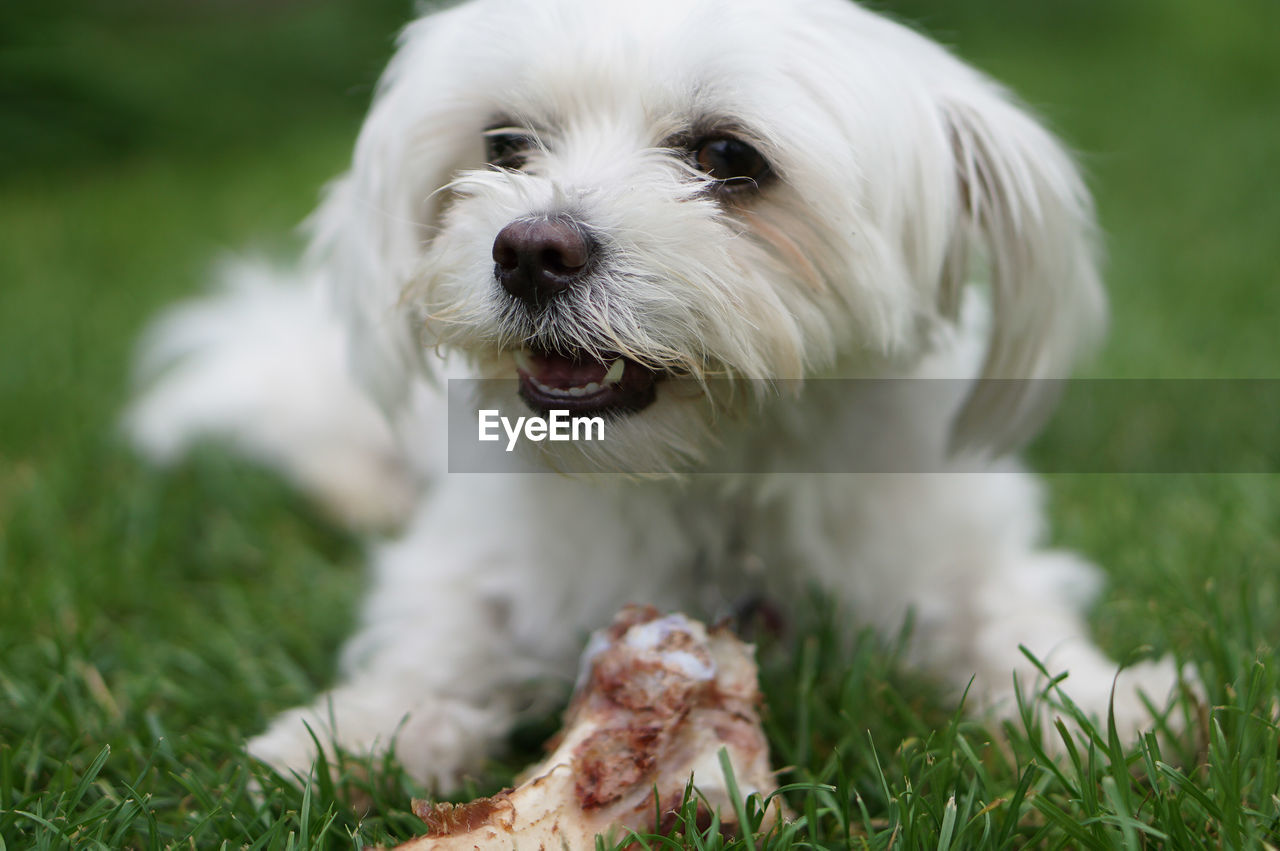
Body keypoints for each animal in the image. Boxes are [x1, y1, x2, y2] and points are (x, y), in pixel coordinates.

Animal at [124, 0, 1182, 788]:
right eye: (505, 144)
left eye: (727, 157)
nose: (530, 250)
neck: (705, 475)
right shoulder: (473, 555)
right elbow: (441, 636)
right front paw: (366, 727)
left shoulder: (952, 542)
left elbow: (1009, 617)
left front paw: (1097, 702)